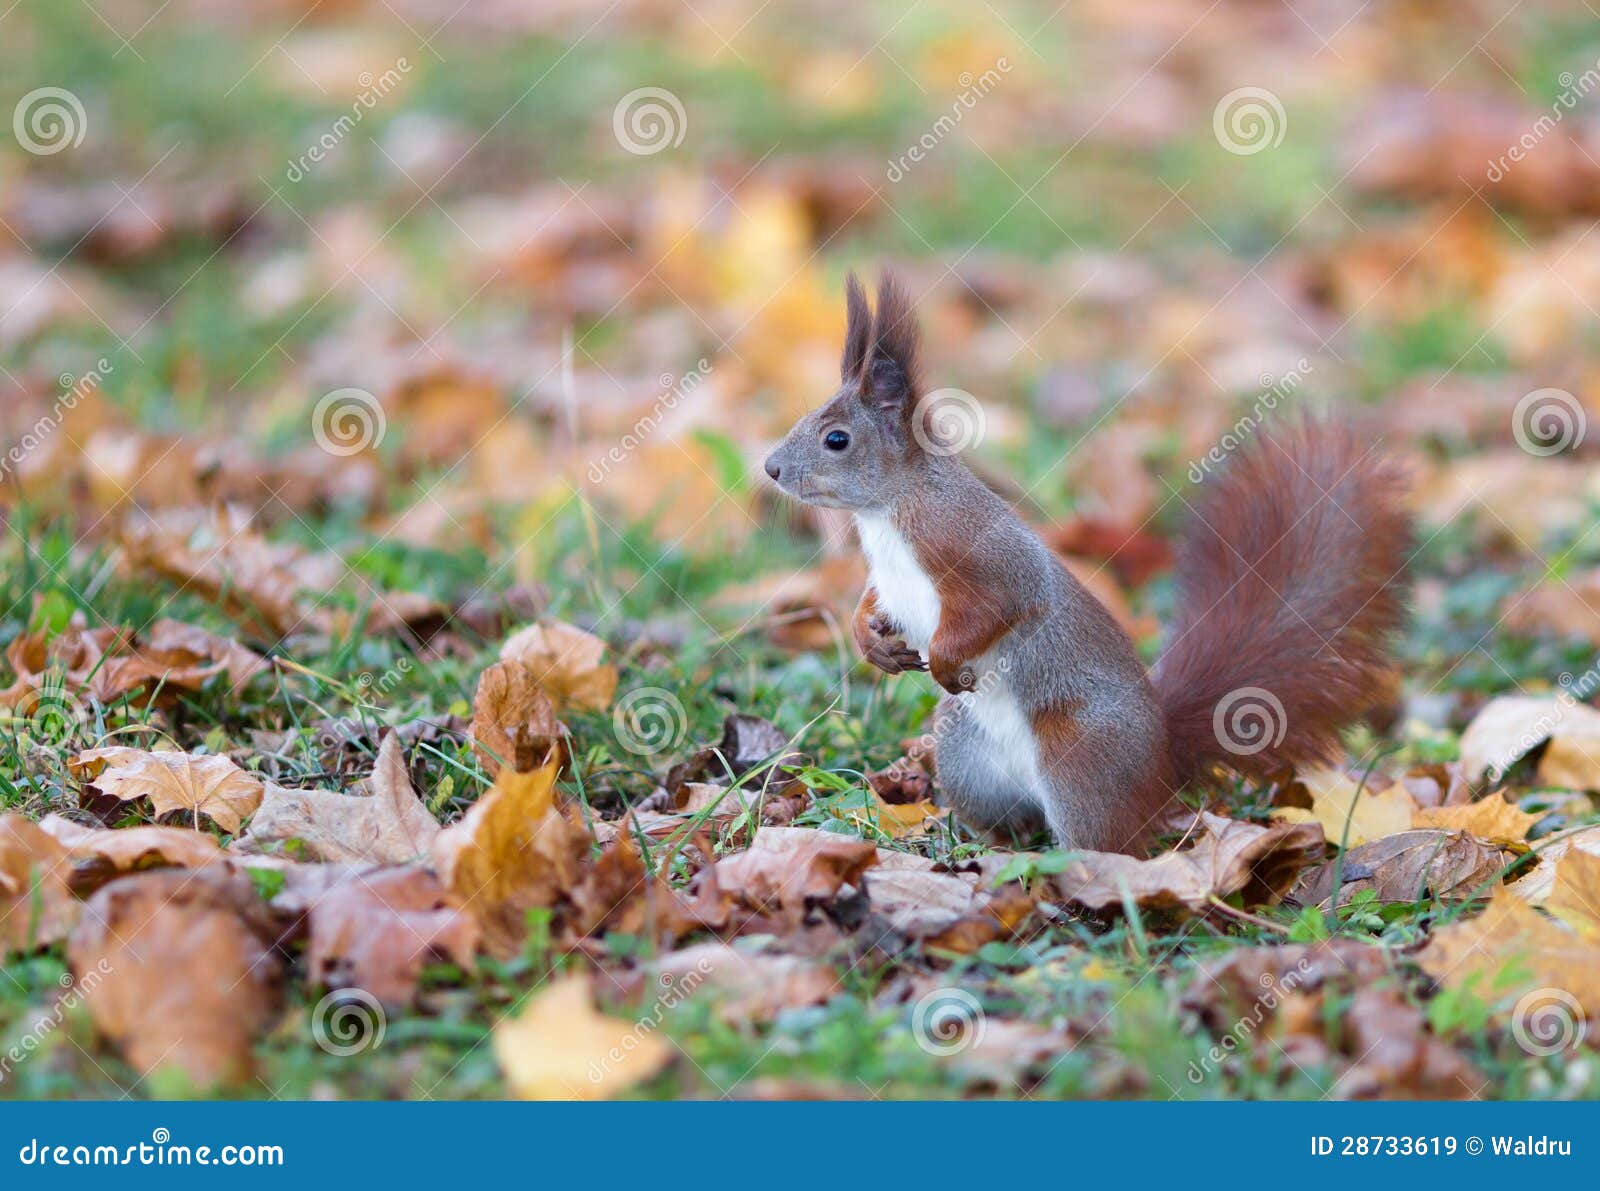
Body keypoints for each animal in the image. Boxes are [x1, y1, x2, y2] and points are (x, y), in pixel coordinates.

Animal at [758, 272, 1401, 845]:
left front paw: (943, 662)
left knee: (1108, 844)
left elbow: (998, 607)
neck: (889, 510)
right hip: (966, 756)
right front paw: (870, 641)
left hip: (1081, 760)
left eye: (836, 439)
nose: (770, 468)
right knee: (1008, 819)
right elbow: (874, 601)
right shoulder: (890, 576)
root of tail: (1162, 764)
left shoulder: (972, 550)